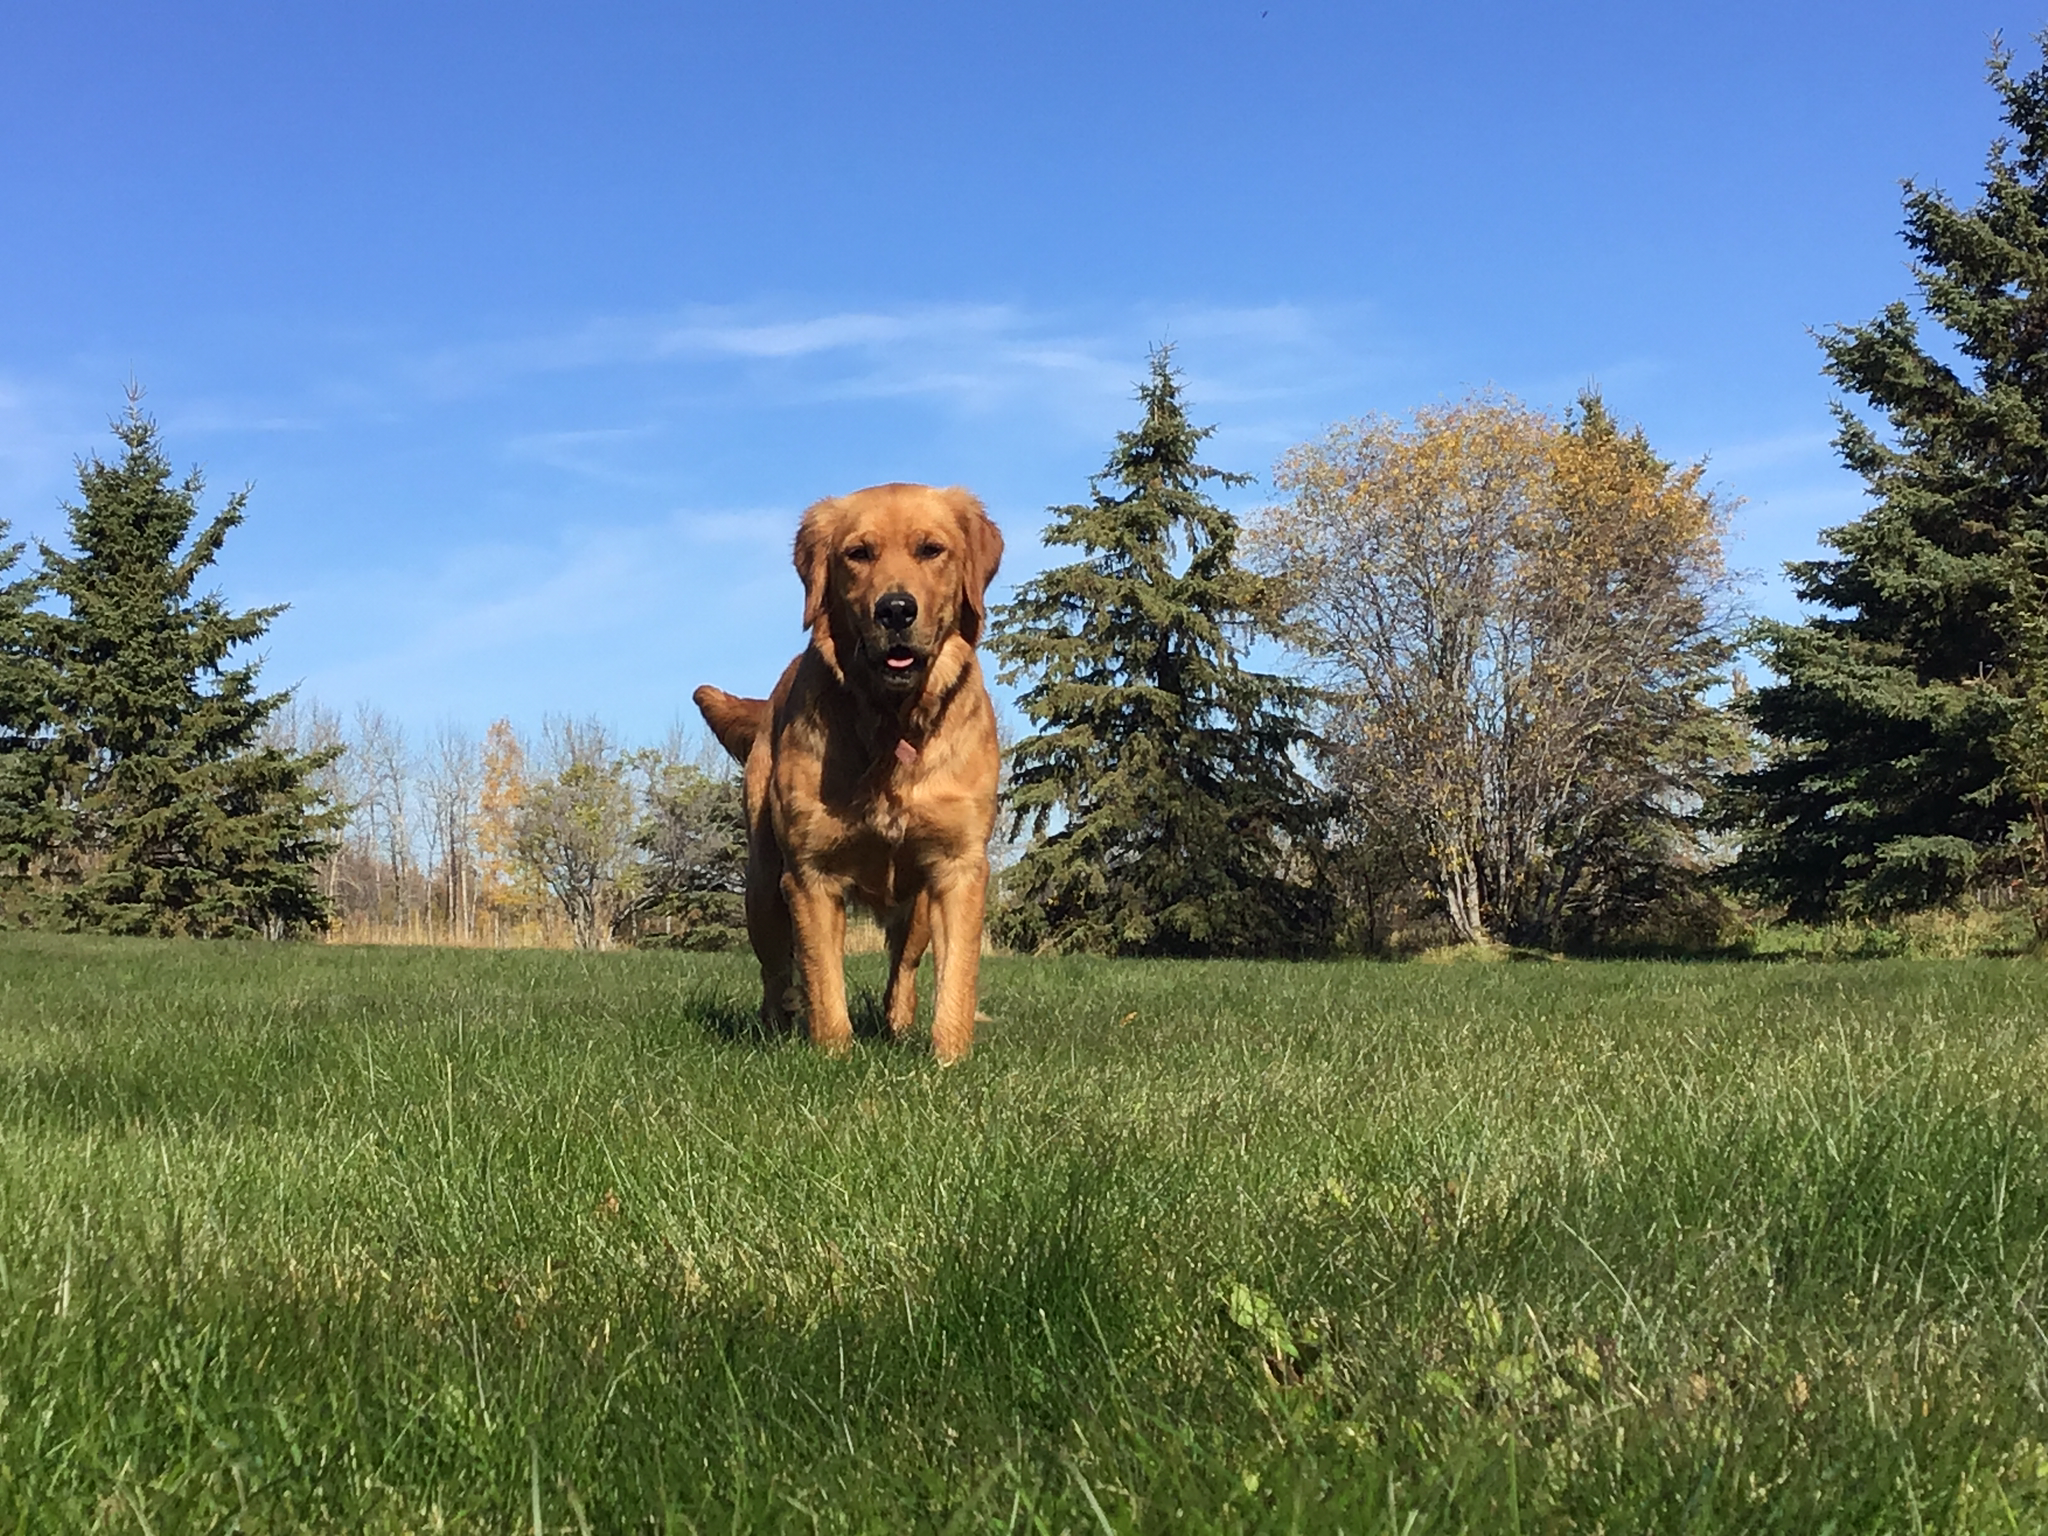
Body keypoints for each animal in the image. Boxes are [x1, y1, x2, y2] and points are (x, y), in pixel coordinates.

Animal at [692, 487, 1003, 1064]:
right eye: (858, 554)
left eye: (932, 550)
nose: (896, 609)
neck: (893, 724)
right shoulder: (810, 874)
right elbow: (823, 979)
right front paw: (832, 1055)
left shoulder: (957, 866)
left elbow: (957, 976)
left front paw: (948, 1058)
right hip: (762, 889)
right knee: (776, 973)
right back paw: (776, 1028)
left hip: (915, 909)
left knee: (903, 971)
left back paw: (898, 1026)